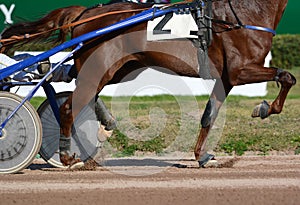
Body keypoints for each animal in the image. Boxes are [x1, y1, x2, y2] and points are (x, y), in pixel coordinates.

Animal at [0, 0, 296, 167]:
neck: (240, 15)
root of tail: (86, 13)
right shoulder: (240, 71)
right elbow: (287, 76)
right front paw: (265, 108)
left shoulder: (226, 77)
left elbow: (209, 115)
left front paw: (201, 156)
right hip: (100, 67)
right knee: (70, 107)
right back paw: (66, 155)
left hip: (115, 68)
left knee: (79, 89)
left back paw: (102, 125)